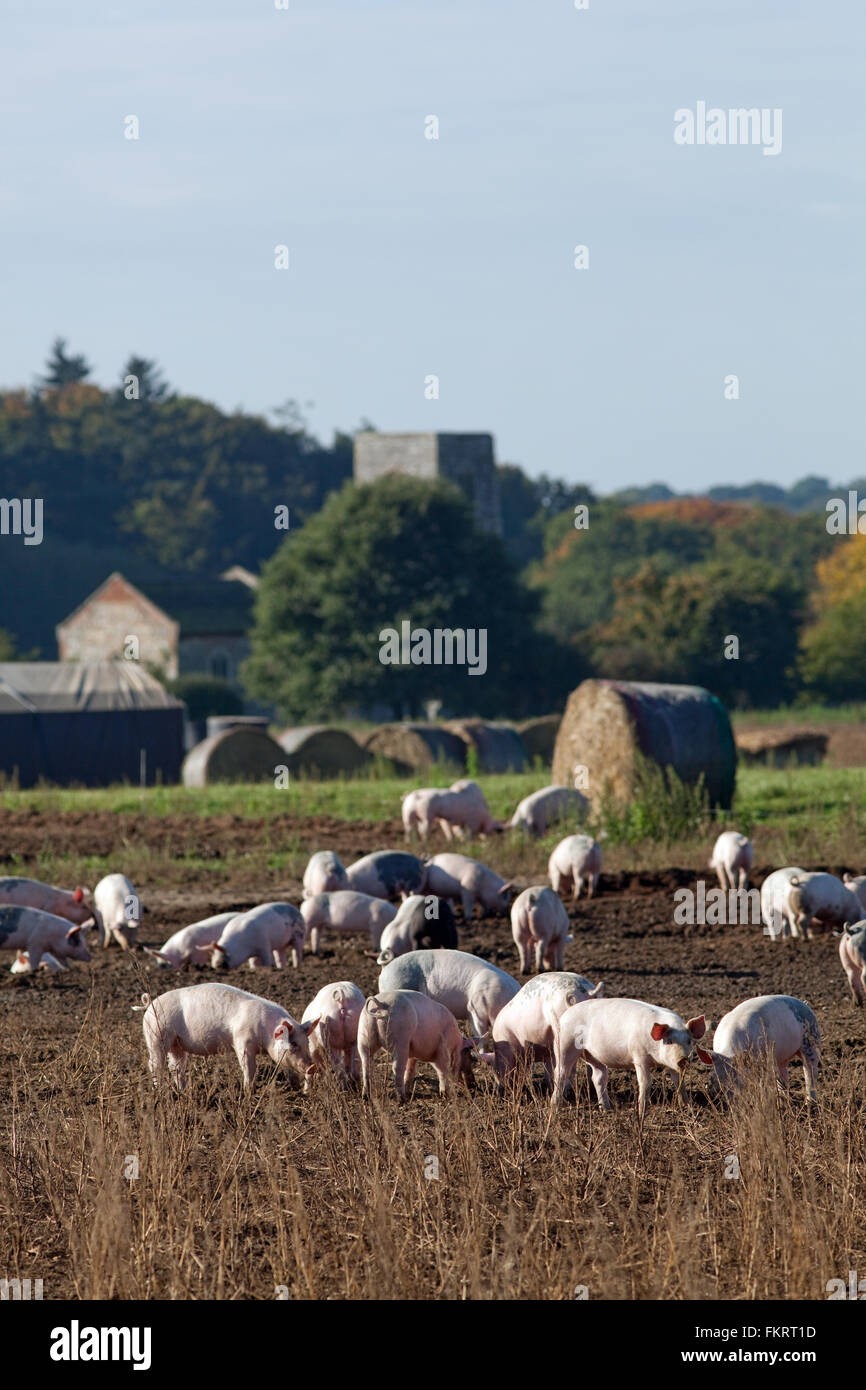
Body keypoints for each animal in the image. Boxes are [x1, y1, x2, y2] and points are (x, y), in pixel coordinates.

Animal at [140, 984, 319, 1089]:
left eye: (306, 1043)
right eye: (293, 1044)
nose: (312, 1065)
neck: (266, 1033)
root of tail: (150, 1005)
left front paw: (295, 1087)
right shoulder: (242, 1042)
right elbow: (249, 1068)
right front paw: (248, 1091)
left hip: (177, 1044)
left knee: (175, 1067)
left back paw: (184, 1091)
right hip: (156, 1037)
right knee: (155, 1064)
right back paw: (160, 1091)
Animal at [553, 1000, 708, 1117]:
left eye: (689, 1041)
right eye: (669, 1041)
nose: (684, 1059)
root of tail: (566, 1013)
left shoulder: (671, 1065)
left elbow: (679, 1083)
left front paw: (687, 1106)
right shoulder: (639, 1057)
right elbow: (645, 1082)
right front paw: (641, 1112)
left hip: (593, 1056)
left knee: (598, 1077)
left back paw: (607, 1109)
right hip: (565, 1045)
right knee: (560, 1073)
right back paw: (555, 1106)